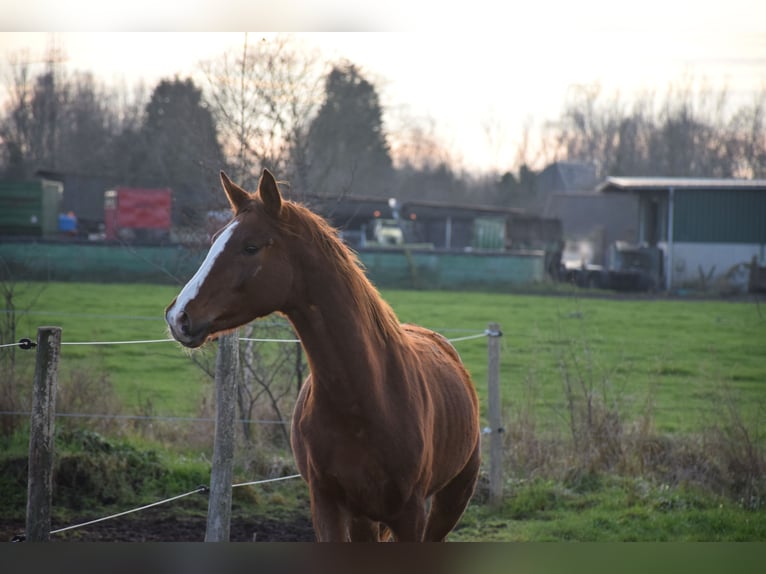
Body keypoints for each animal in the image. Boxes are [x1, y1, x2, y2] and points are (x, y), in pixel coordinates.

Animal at [165, 169, 481, 541]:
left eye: (250, 246)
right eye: (215, 239)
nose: (178, 316)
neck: (366, 402)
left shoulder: (410, 516)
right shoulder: (328, 505)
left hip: (451, 499)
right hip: (366, 518)